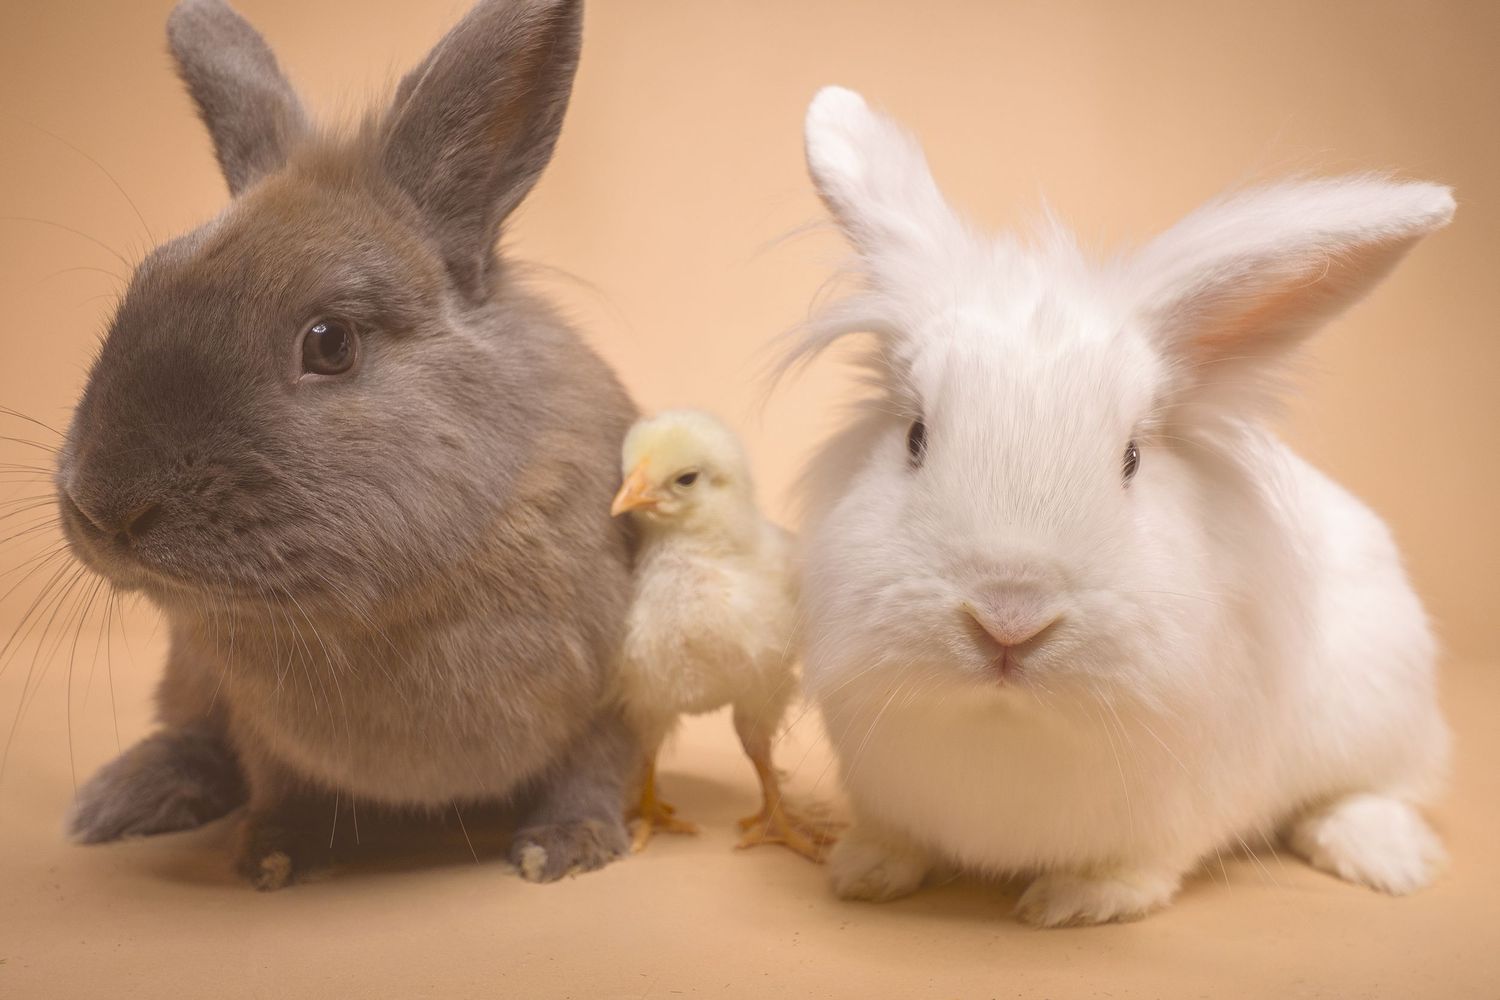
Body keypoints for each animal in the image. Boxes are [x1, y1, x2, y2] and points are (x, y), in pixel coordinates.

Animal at [57, 0, 643, 889]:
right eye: (144, 286)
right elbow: (276, 777)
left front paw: (564, 849)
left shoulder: (620, 690)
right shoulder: (258, 722)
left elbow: (595, 767)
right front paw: (272, 853)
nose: (103, 506)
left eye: (329, 343)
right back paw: (118, 801)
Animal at [781, 86, 1453, 926]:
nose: (1009, 617)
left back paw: (1385, 861)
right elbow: (897, 839)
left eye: (1130, 458)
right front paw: (863, 871)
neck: (1009, 721)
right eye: (916, 438)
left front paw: (1071, 902)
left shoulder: (1177, 811)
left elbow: (1139, 869)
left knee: (1382, 788)